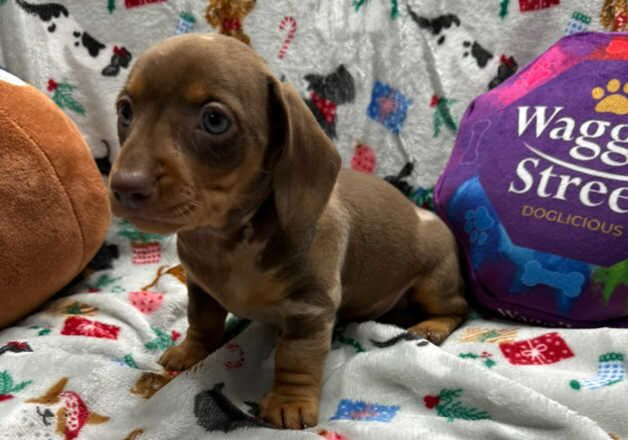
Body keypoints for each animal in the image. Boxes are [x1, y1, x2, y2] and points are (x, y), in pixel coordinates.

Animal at [109, 33, 466, 430]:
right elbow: (201, 321)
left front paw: (289, 402)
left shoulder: (309, 308)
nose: (125, 186)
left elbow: (296, 357)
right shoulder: (200, 286)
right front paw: (191, 350)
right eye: (125, 111)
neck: (227, 242)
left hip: (434, 282)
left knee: (459, 308)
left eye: (214, 120)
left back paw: (431, 326)